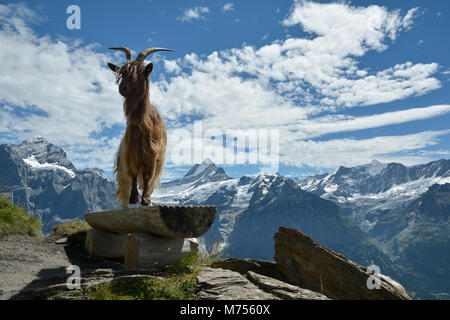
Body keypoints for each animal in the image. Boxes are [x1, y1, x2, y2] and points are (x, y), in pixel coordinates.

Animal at [108, 47, 173, 208]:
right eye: (122, 73)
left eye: (142, 72)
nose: (122, 88)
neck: (144, 124)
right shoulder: (130, 154)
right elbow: (132, 175)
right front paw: (133, 198)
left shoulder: (152, 155)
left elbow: (147, 176)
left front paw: (146, 200)